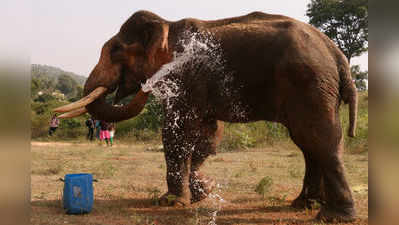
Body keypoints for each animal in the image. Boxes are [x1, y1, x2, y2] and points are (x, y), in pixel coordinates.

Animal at [54, 10, 358, 221]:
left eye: (116, 50)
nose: (143, 85)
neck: (168, 25)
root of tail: (336, 53)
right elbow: (209, 135)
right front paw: (205, 190)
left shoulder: (185, 76)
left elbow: (177, 132)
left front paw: (170, 202)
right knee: (308, 143)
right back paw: (304, 205)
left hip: (309, 83)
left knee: (318, 139)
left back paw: (333, 217)